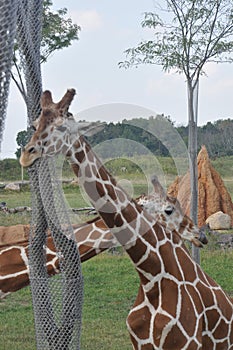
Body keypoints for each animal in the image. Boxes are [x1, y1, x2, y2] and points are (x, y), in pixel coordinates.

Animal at [20, 90, 232, 350]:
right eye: (35, 124)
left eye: (62, 127)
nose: (26, 155)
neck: (152, 279)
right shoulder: (140, 343)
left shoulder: (187, 344)